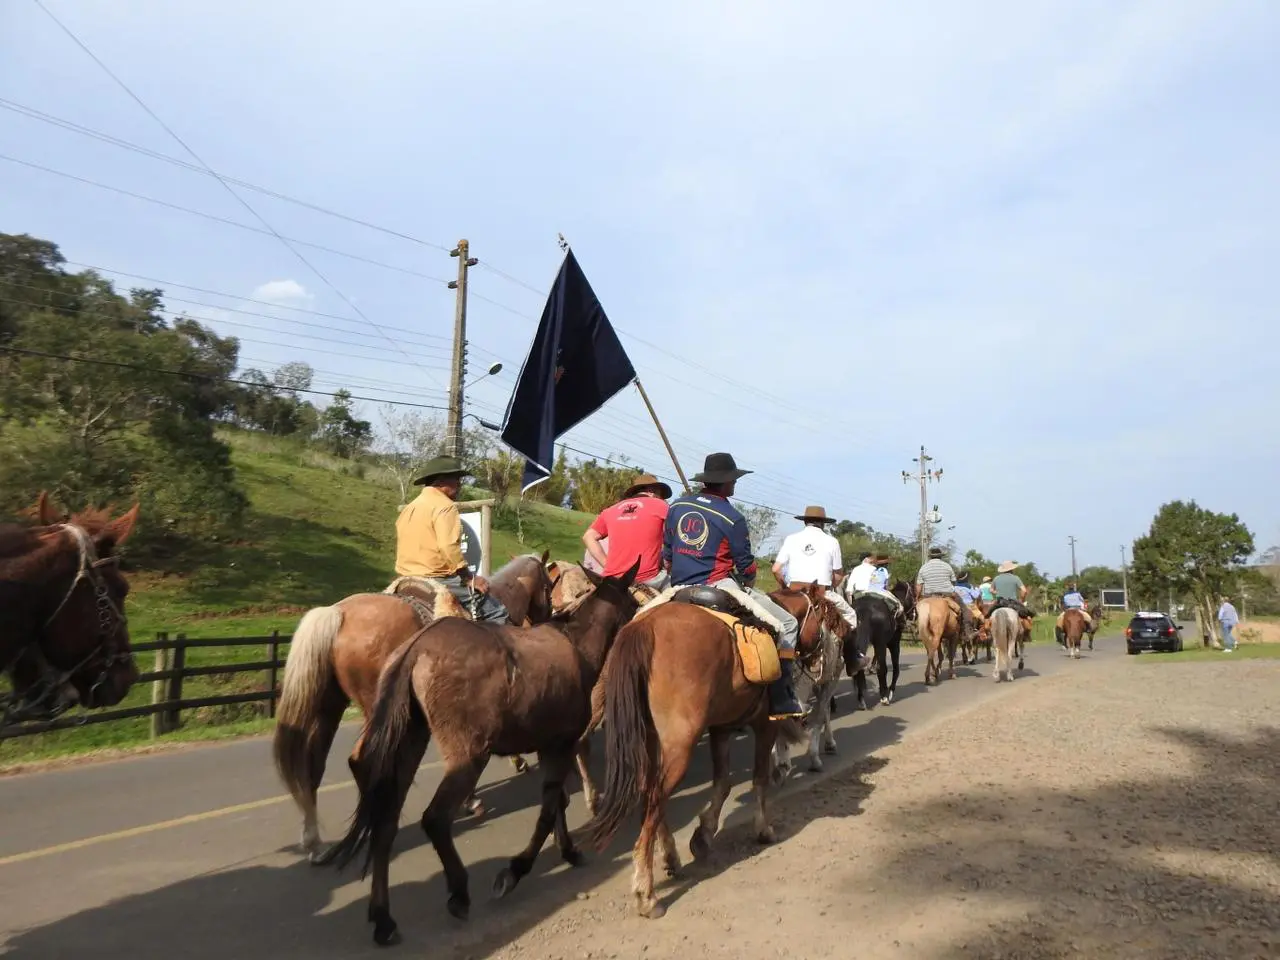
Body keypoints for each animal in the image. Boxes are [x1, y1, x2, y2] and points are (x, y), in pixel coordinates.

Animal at [275, 547, 555, 855]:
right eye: (549, 584)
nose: (547, 615)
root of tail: (338, 613)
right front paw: (487, 787)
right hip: (376, 708)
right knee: (362, 760)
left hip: (330, 705)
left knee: (313, 765)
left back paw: (313, 840)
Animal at [320, 563, 640, 947]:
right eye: (633, 603)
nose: (641, 621)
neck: (575, 646)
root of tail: (414, 649)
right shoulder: (561, 745)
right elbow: (549, 811)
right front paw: (515, 871)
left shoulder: (550, 747)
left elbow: (557, 804)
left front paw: (568, 850)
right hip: (468, 756)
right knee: (435, 818)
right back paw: (458, 891)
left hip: (408, 747)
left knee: (385, 823)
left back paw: (383, 918)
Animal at [581, 586, 839, 926]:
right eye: (825, 619)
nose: (825, 660)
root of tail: (644, 628)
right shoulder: (763, 725)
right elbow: (759, 779)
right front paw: (763, 829)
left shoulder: (721, 728)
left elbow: (723, 784)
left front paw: (703, 835)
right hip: (680, 743)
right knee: (654, 799)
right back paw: (646, 894)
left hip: (651, 740)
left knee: (650, 795)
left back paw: (670, 857)